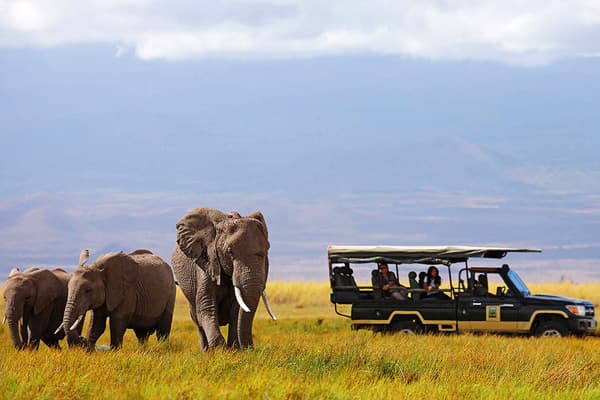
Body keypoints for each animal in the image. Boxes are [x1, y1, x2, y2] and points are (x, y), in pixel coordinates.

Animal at [172, 206, 278, 350]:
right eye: (229, 252)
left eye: (267, 249)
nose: (251, 348)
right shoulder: (206, 263)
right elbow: (206, 307)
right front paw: (220, 350)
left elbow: (236, 310)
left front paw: (234, 350)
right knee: (197, 319)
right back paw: (205, 351)